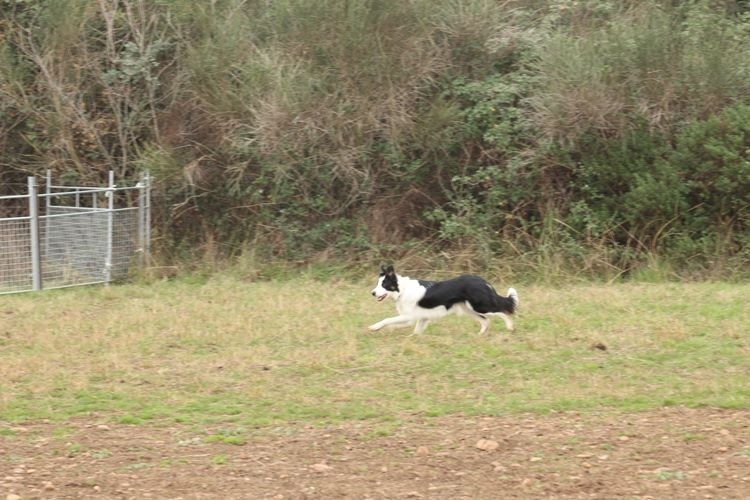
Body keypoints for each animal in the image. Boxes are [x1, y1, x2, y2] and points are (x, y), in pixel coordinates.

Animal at [368, 266, 520, 336]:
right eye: (378, 284)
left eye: (384, 285)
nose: (372, 293)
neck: (402, 290)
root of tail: (482, 281)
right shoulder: (422, 317)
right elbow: (417, 331)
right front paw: (413, 337)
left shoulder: (409, 316)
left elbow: (387, 320)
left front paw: (374, 327)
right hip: (469, 309)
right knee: (485, 321)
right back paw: (479, 335)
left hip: (481, 306)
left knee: (503, 311)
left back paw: (510, 327)